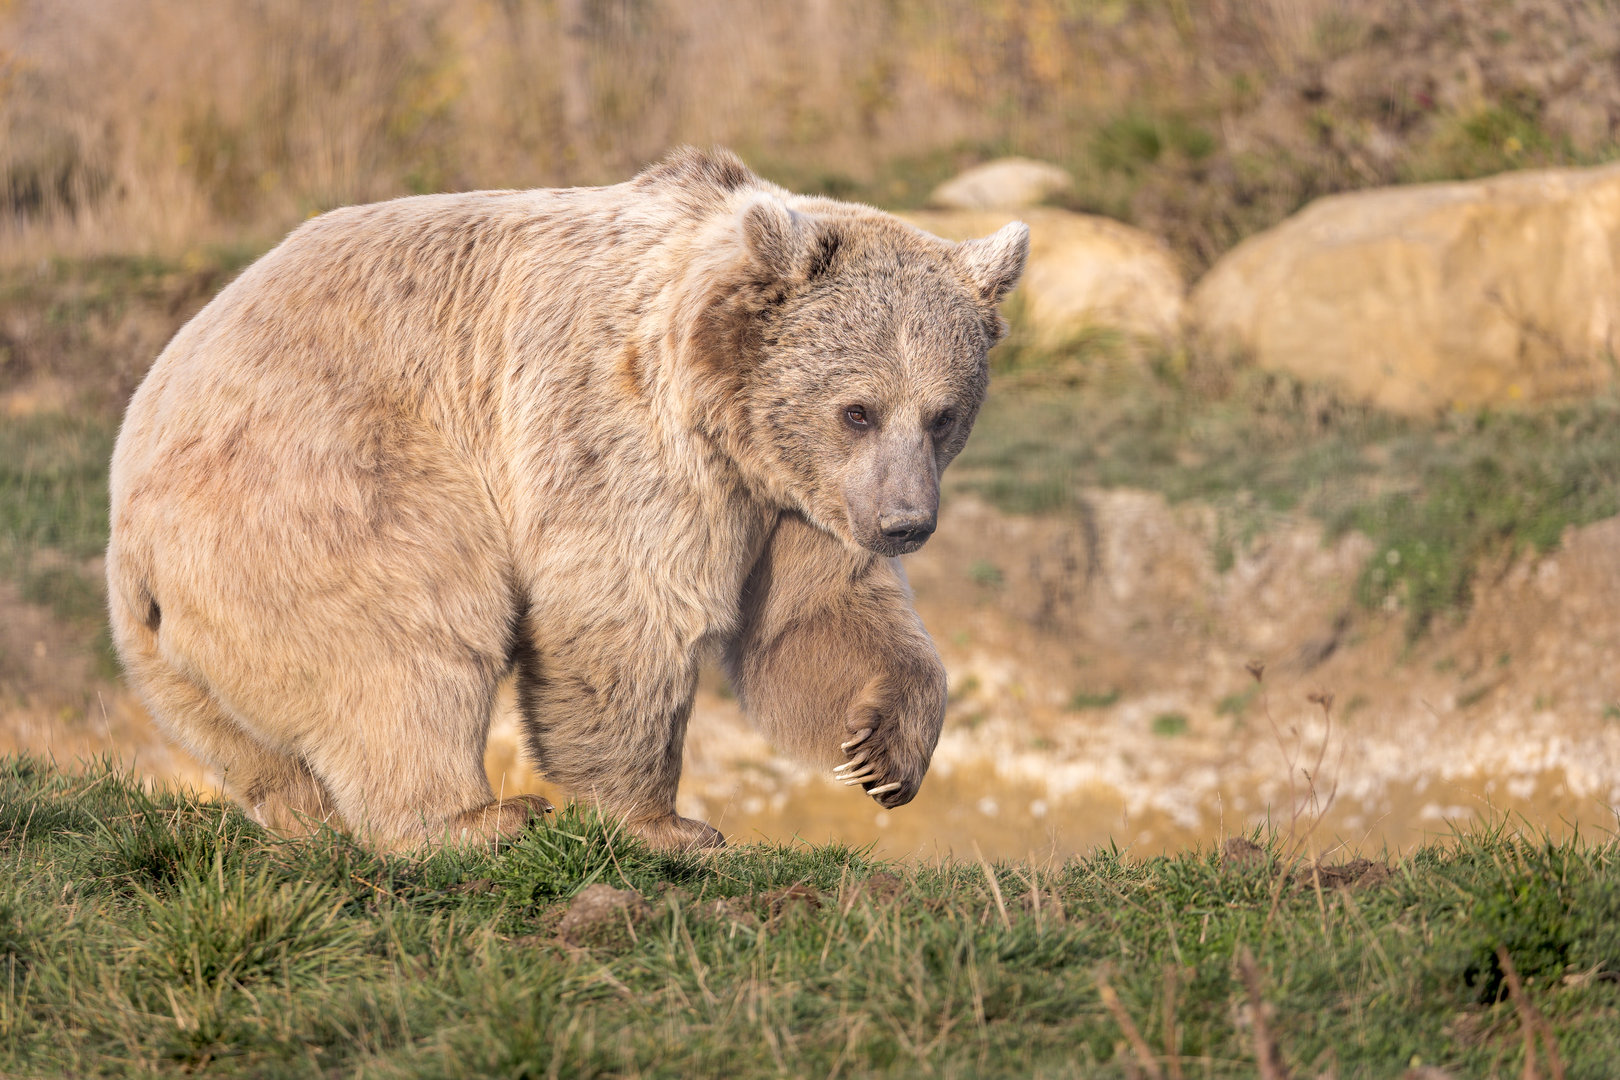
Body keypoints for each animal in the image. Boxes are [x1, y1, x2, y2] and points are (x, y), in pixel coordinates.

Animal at [105, 147, 1028, 851]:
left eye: (943, 413)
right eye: (857, 409)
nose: (906, 523)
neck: (720, 402)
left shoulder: (793, 500)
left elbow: (818, 616)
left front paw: (883, 750)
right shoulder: (615, 422)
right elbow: (627, 606)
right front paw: (668, 824)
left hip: (169, 657)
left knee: (258, 741)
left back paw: (312, 819)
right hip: (313, 488)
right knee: (405, 635)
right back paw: (473, 820)